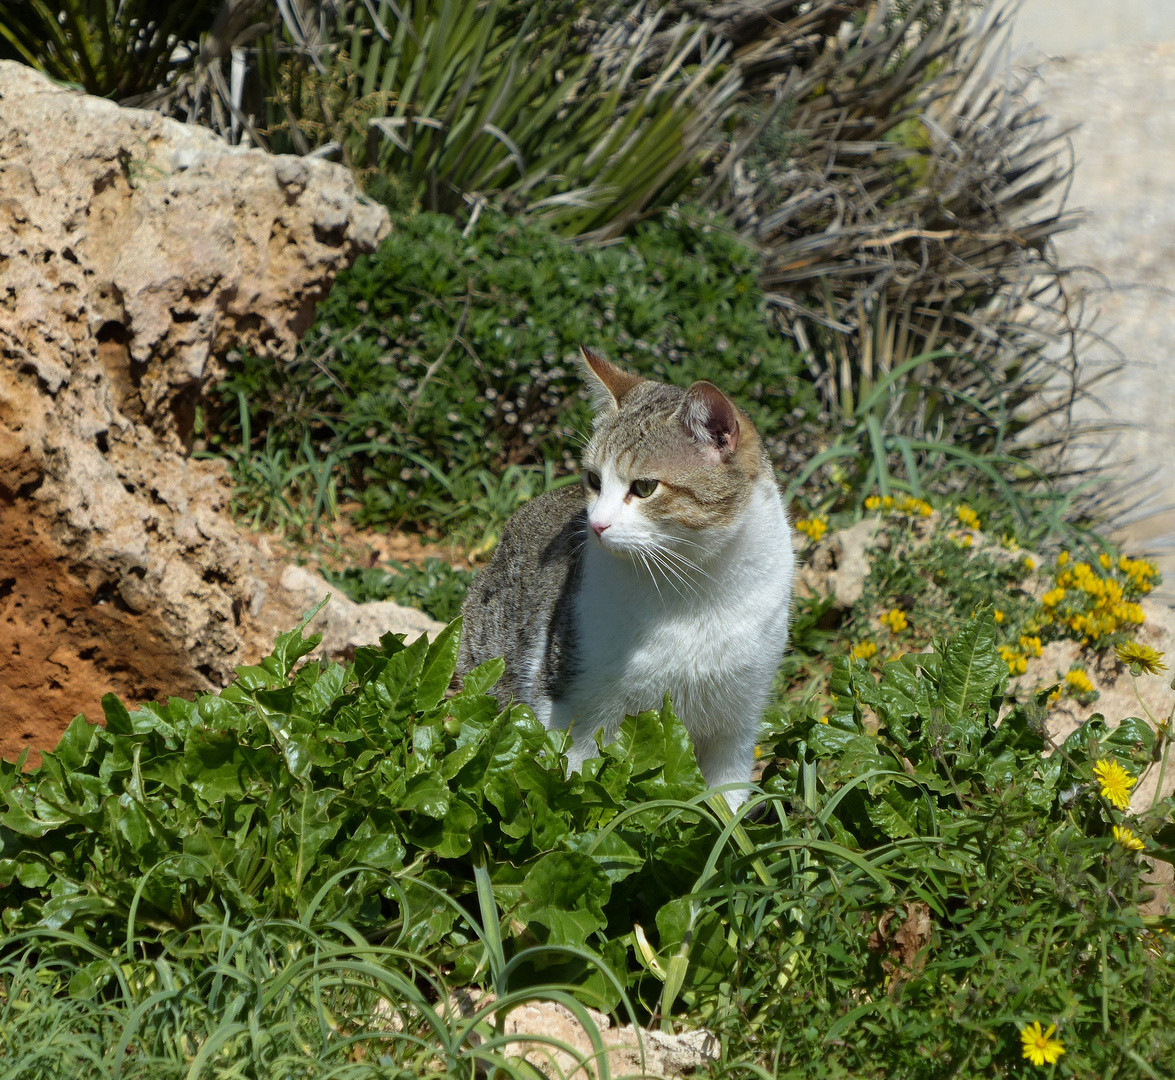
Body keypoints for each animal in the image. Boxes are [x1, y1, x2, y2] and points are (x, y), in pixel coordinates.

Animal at [453, 345, 794, 803]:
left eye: (645, 488)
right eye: (593, 479)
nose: (596, 524)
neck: (693, 584)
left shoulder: (736, 724)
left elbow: (726, 800)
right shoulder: (577, 711)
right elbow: (577, 782)